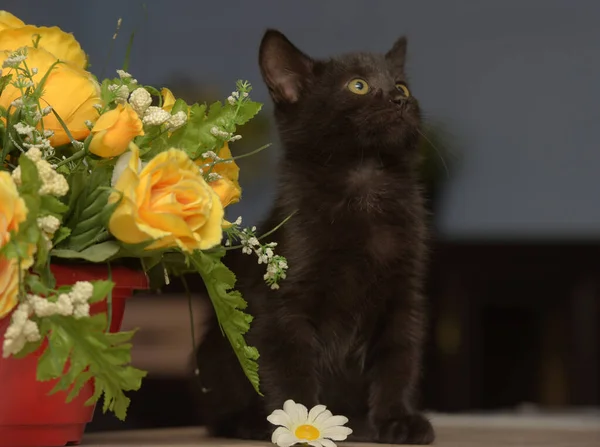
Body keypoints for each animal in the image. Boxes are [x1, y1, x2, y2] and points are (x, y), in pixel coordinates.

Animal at [195, 29, 434, 446]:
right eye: (358, 85)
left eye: (403, 85)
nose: (400, 99)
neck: (365, 184)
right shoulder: (280, 305)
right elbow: (290, 370)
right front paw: (302, 426)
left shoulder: (404, 297)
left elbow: (399, 360)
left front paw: (397, 419)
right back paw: (249, 422)